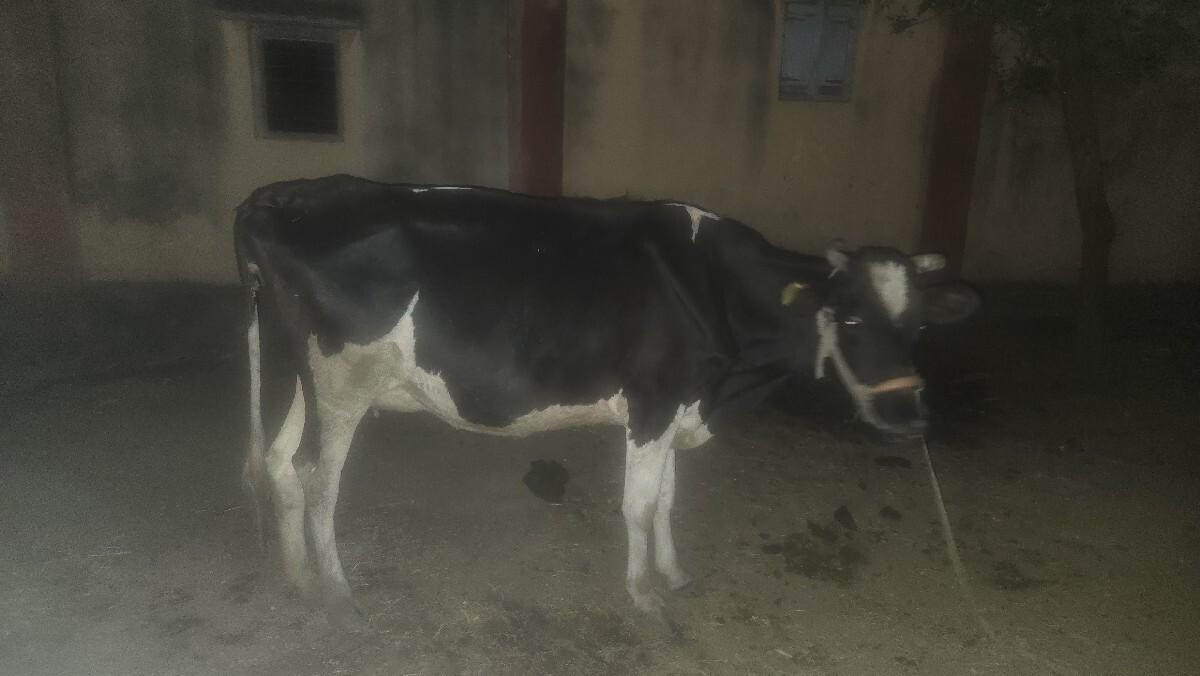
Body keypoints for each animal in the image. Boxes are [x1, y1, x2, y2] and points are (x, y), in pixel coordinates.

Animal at [235, 174, 979, 628]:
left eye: (917, 325)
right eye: (849, 320)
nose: (907, 417)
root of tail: (290, 196)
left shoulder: (678, 406)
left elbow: (668, 500)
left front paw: (672, 573)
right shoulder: (653, 404)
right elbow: (639, 505)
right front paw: (643, 594)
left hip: (292, 369)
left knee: (277, 465)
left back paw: (297, 578)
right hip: (342, 382)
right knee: (316, 479)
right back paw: (337, 592)